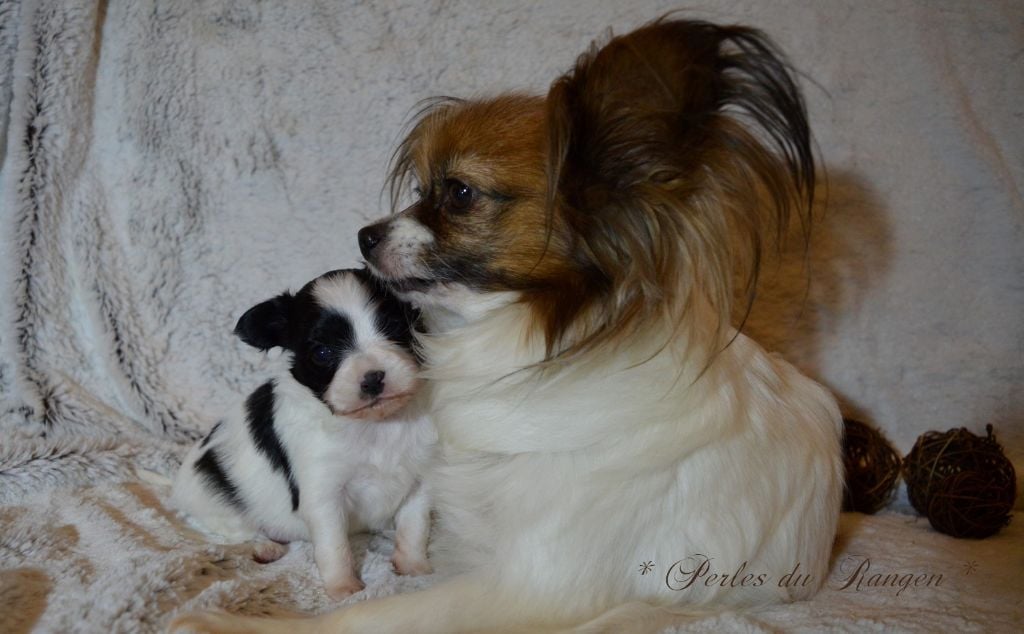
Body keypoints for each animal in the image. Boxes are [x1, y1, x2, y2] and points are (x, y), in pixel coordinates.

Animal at [172, 268, 436, 602]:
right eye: (322, 353)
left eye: (395, 327)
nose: (373, 378)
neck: (375, 425)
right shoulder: (323, 495)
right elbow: (334, 546)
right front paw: (344, 589)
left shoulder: (420, 480)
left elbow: (414, 527)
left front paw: (414, 569)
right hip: (213, 500)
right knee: (226, 529)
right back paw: (264, 545)